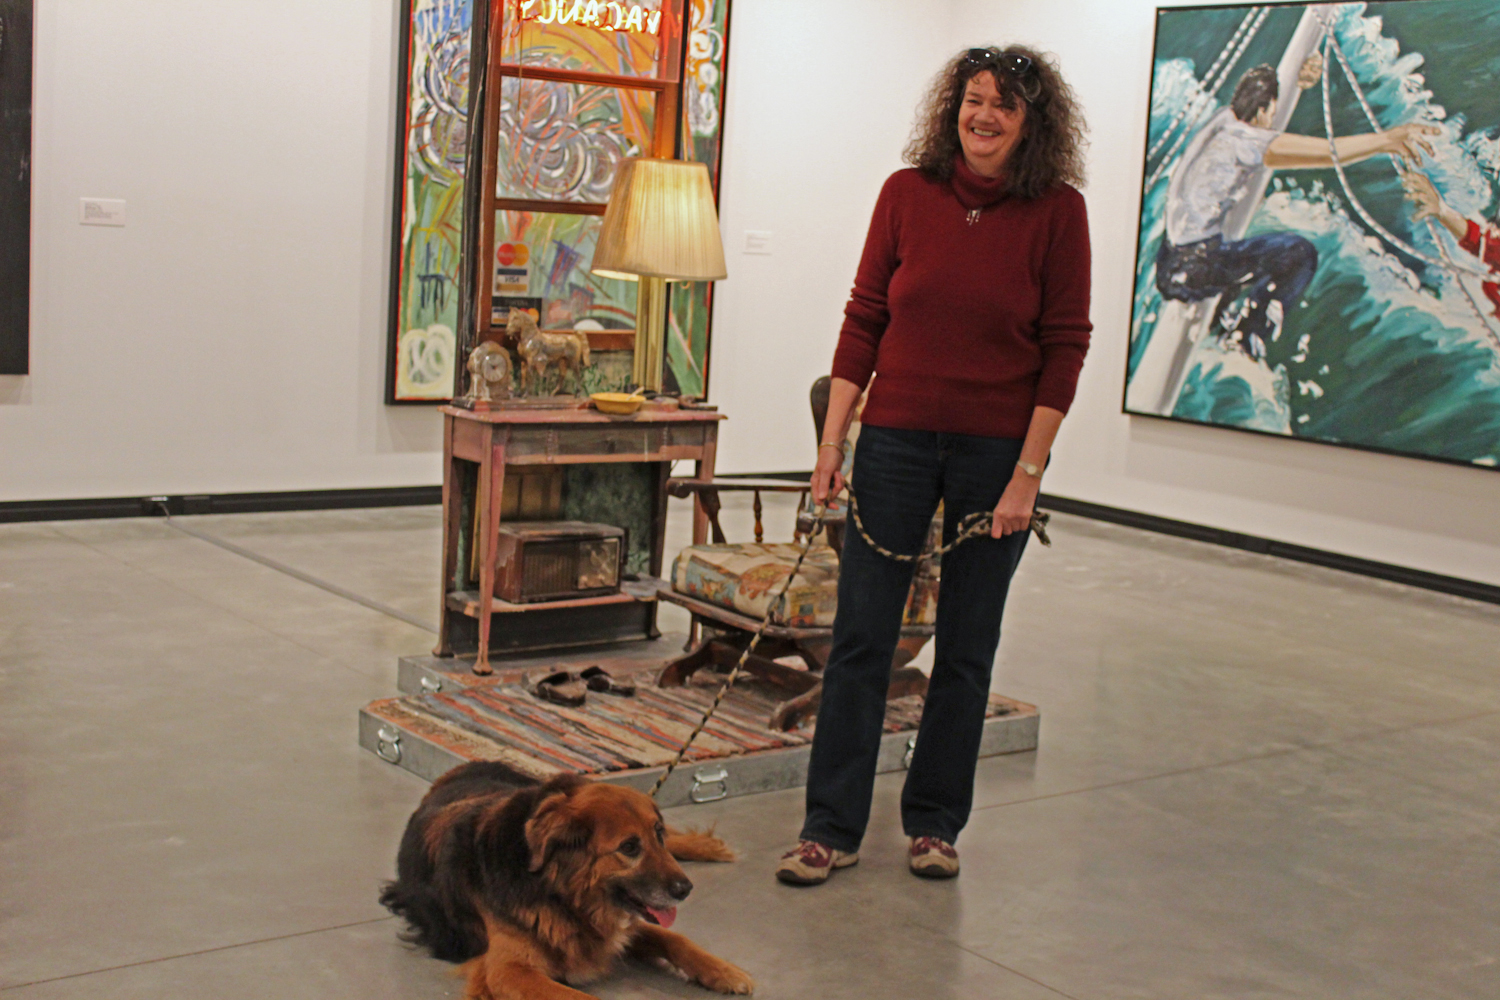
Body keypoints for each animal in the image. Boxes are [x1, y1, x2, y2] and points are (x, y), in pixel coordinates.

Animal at [375, 761, 750, 995]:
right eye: (629, 847)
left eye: (657, 834)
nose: (685, 889)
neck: (559, 893)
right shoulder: (507, 970)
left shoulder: (617, 925)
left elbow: (675, 939)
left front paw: (724, 971)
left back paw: (707, 846)